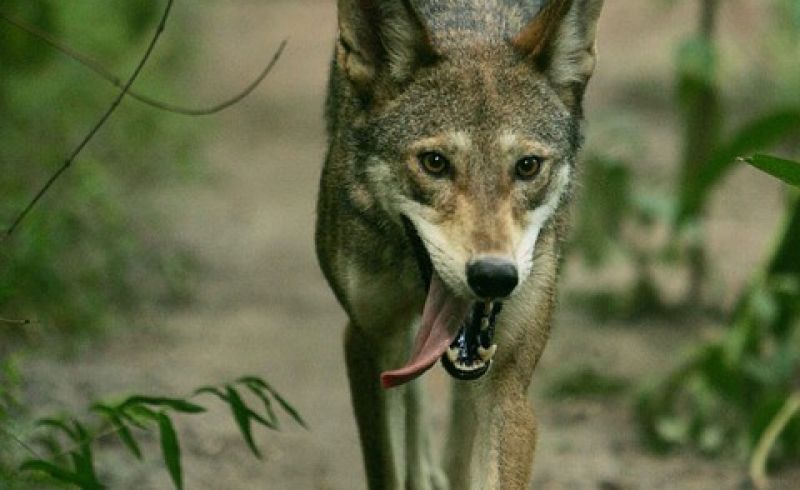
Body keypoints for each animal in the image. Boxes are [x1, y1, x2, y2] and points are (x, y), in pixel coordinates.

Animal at [315, 0, 604, 488]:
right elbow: (389, 464)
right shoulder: (368, 341)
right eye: (435, 163)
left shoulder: (506, 386)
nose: (494, 277)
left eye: (528, 166)